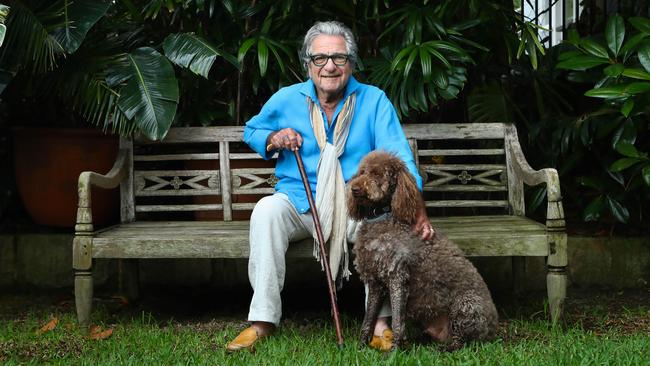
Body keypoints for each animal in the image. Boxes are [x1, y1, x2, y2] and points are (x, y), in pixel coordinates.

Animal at [350, 150, 496, 350]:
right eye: (362, 172)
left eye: (377, 174)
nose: (354, 189)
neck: (382, 218)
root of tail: (492, 328)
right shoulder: (375, 282)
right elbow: (368, 320)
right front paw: (361, 347)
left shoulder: (398, 279)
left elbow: (397, 322)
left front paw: (395, 351)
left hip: (466, 305)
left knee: (462, 341)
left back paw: (446, 349)